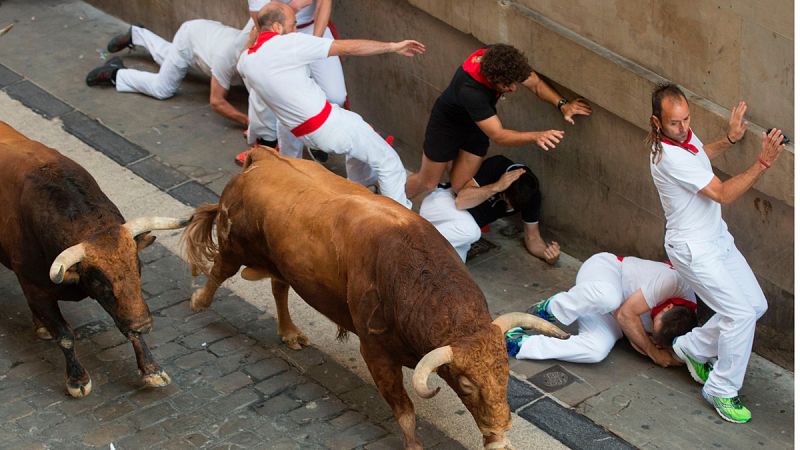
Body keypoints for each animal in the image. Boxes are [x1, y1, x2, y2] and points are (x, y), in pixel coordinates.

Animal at [0, 122, 189, 398]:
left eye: (138, 268)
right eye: (100, 282)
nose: (144, 325)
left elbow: (125, 323)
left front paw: (151, 369)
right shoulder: (34, 286)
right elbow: (65, 335)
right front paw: (77, 379)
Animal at [183, 148, 568, 450]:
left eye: (505, 373)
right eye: (466, 384)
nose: (501, 424)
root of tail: (261, 157)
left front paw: (497, 441)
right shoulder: (377, 354)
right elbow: (405, 411)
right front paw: (414, 444)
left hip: (281, 262)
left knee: (278, 288)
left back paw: (289, 333)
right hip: (235, 245)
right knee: (218, 271)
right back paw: (199, 301)